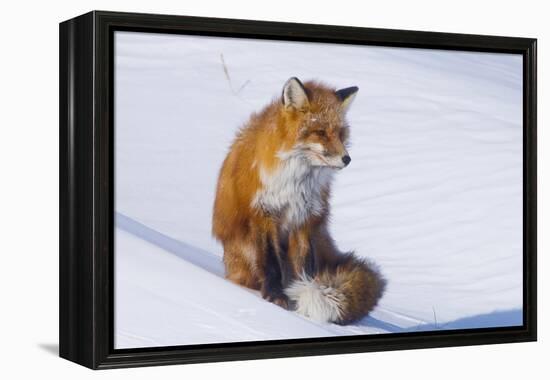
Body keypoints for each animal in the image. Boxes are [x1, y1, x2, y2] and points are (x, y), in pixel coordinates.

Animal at [213, 76, 386, 324]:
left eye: (341, 133)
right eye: (320, 132)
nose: (347, 159)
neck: (296, 182)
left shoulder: (304, 218)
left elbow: (304, 267)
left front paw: (300, 295)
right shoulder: (264, 213)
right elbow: (271, 262)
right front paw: (275, 297)